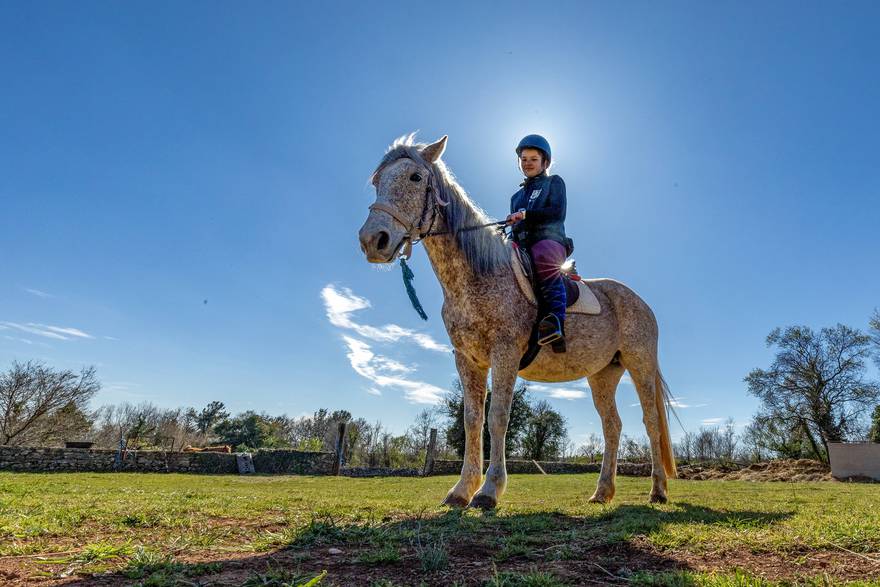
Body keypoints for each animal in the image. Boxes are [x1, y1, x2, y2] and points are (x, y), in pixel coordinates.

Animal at [358, 134, 672, 510]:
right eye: (377, 181)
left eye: (415, 178)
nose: (372, 240)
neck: (478, 274)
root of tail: (641, 302)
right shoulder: (468, 360)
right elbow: (472, 420)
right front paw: (462, 490)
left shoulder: (504, 353)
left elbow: (498, 417)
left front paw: (489, 490)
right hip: (603, 374)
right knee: (613, 426)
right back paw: (602, 492)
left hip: (640, 365)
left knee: (651, 423)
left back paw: (658, 490)